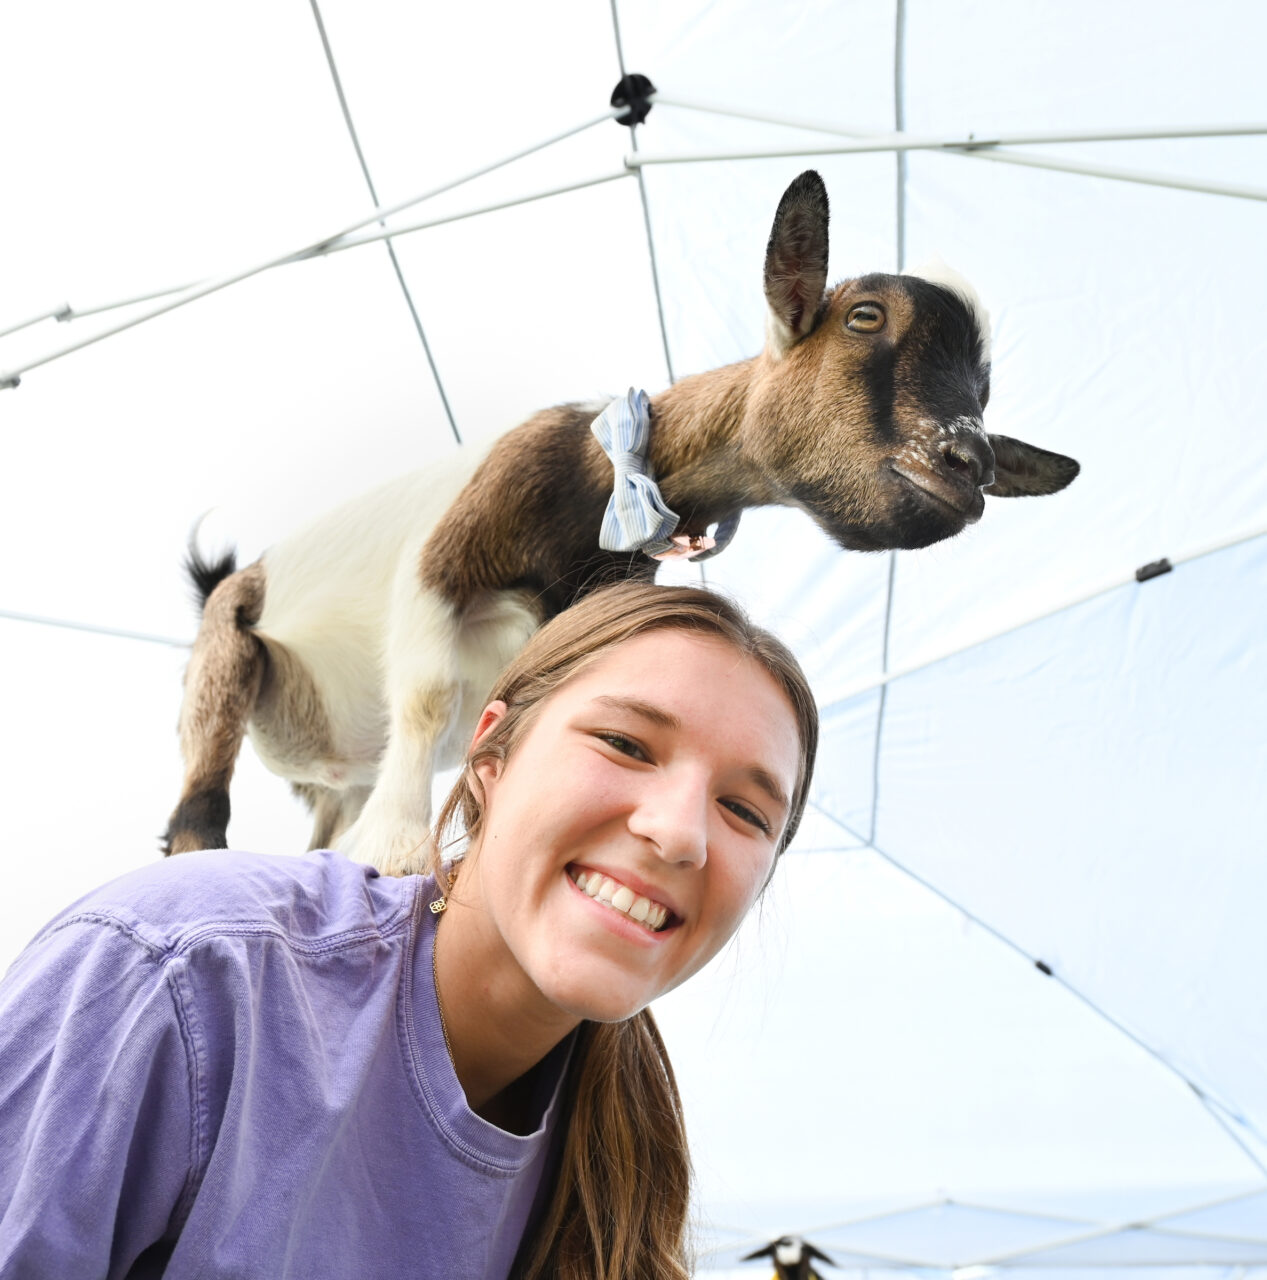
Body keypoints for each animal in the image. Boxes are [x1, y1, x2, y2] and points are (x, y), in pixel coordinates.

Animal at [164, 169, 1079, 875]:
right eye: (864, 316)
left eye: (985, 397)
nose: (968, 464)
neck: (601, 475)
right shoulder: (444, 561)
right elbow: (426, 694)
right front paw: (395, 849)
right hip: (228, 649)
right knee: (199, 805)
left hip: (332, 773)